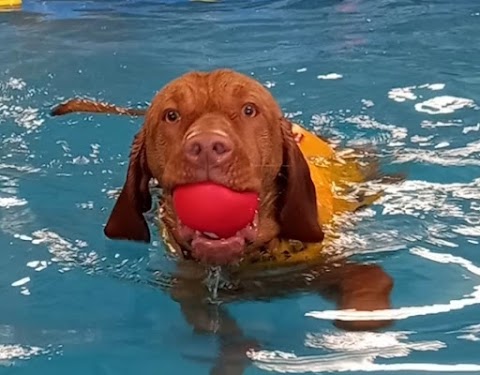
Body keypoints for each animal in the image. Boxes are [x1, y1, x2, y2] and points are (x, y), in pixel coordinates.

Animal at [51, 70, 394, 375]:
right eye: (171, 115)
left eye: (249, 110)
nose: (206, 147)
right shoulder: (190, 291)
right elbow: (218, 329)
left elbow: (369, 289)